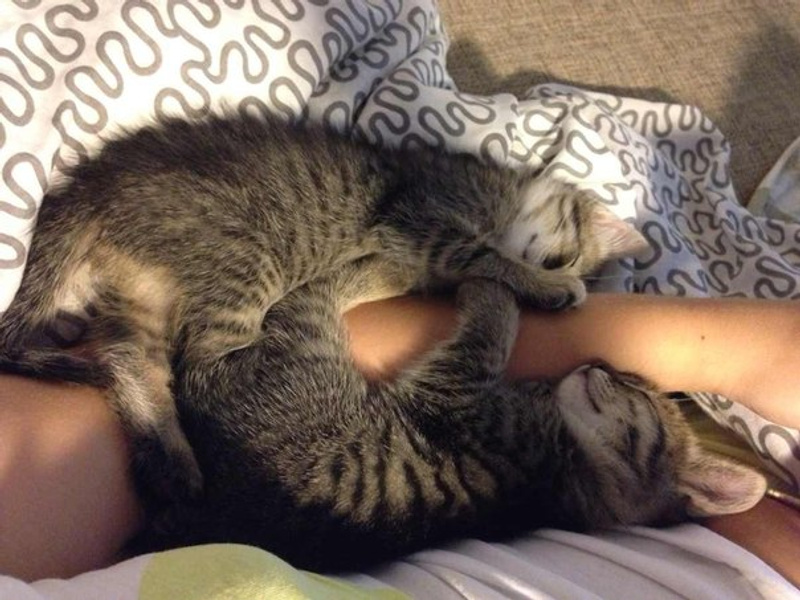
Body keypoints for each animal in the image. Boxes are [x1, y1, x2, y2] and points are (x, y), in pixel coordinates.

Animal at [0, 112, 645, 507]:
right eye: (566, 256)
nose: (558, 269)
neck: (502, 195)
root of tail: (87, 188)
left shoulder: (409, 248)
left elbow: (398, 273)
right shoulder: (424, 217)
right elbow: (476, 251)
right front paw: (542, 284)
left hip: (146, 294)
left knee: (132, 360)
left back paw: (173, 462)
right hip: (246, 258)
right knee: (203, 360)